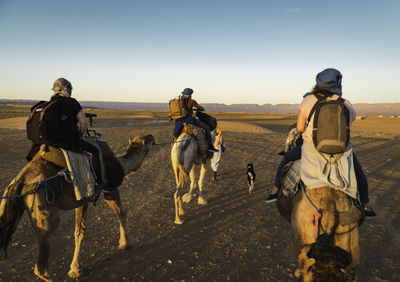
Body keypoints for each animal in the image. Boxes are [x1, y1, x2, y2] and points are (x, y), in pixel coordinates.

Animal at [0, 135, 155, 282]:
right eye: (146, 140)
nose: (151, 136)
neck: (121, 164)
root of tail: (21, 181)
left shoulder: (82, 201)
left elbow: (78, 231)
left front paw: (75, 268)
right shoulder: (109, 189)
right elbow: (118, 214)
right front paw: (125, 243)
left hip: (12, 205)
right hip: (44, 207)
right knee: (41, 259)